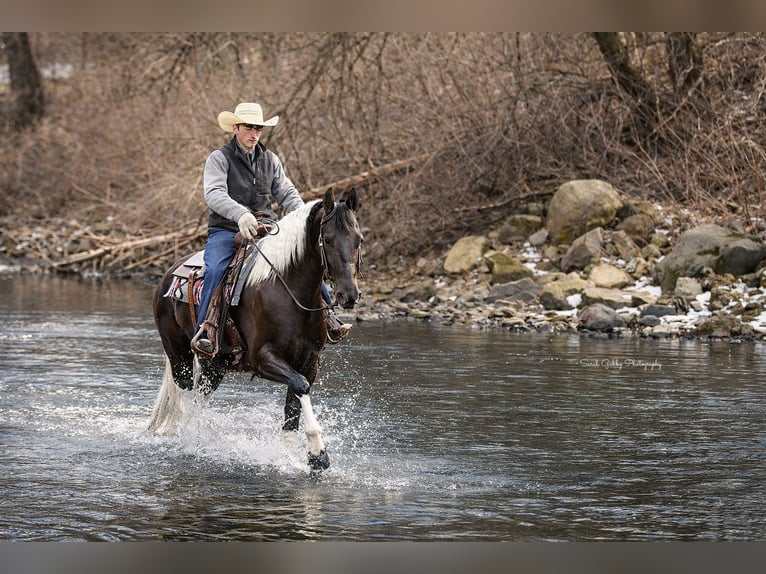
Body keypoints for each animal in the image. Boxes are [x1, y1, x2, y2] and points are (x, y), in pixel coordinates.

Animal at [147, 187, 363, 472]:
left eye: (359, 239)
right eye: (326, 240)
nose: (349, 295)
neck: (286, 289)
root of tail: (169, 273)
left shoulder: (309, 361)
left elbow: (293, 406)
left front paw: (294, 455)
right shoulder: (262, 358)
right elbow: (300, 385)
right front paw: (319, 453)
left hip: (216, 365)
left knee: (199, 397)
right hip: (178, 354)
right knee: (184, 395)